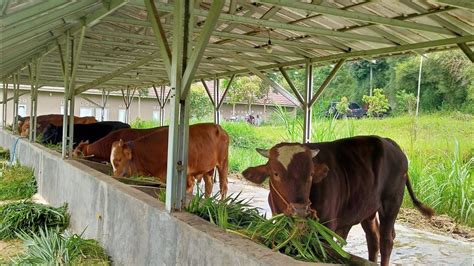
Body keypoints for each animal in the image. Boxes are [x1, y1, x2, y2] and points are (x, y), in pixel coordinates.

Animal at [243, 137, 436, 266]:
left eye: (310, 174)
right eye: (275, 173)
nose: (300, 209)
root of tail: (391, 144)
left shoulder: (327, 227)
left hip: (391, 203)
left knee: (386, 240)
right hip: (367, 209)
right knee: (373, 238)